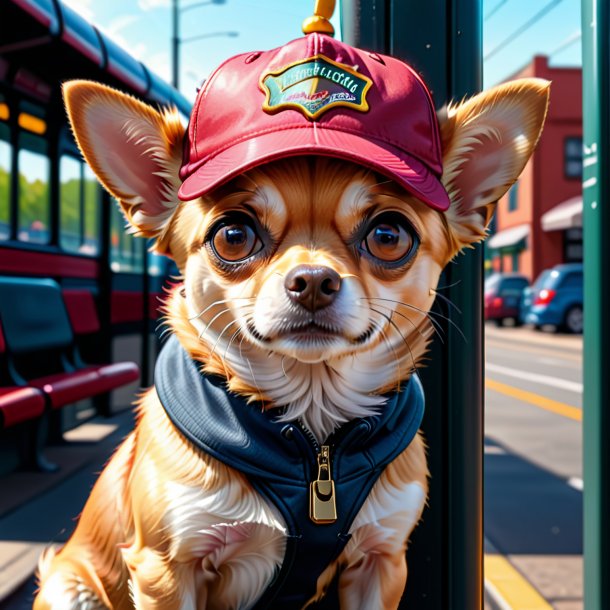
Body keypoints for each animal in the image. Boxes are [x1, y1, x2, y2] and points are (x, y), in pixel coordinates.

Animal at [32, 30, 548, 608]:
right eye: (234, 235)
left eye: (389, 235)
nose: (313, 280)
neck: (312, 428)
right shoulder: (166, 569)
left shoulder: (381, 560)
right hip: (71, 585)